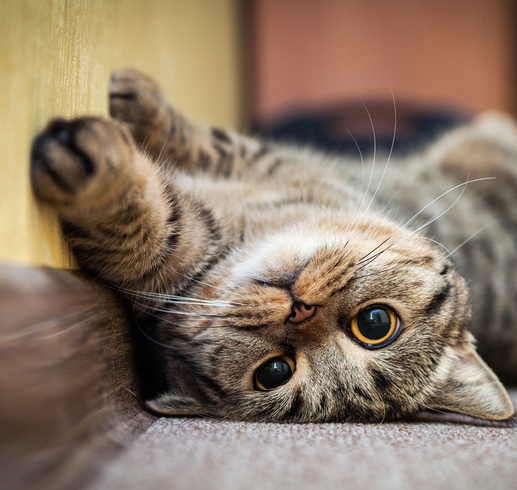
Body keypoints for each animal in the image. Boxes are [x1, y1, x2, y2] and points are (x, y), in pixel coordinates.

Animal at [30, 69, 516, 424]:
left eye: (274, 373)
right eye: (376, 323)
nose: (300, 309)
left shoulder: (185, 249)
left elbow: (150, 226)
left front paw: (96, 171)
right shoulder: (274, 165)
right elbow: (201, 137)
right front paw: (138, 95)